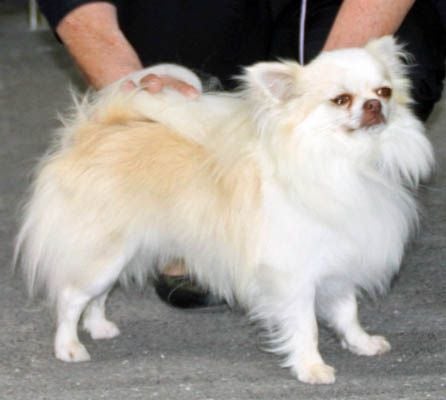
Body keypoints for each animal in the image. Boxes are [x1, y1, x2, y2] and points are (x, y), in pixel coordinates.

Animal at [15, 37, 434, 384]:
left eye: (384, 91)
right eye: (341, 100)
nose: (375, 105)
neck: (348, 164)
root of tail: (95, 131)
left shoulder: (339, 263)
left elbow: (347, 312)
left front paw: (361, 343)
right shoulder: (293, 276)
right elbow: (306, 326)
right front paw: (311, 368)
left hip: (121, 252)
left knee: (96, 297)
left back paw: (100, 327)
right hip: (103, 252)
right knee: (71, 297)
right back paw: (69, 347)